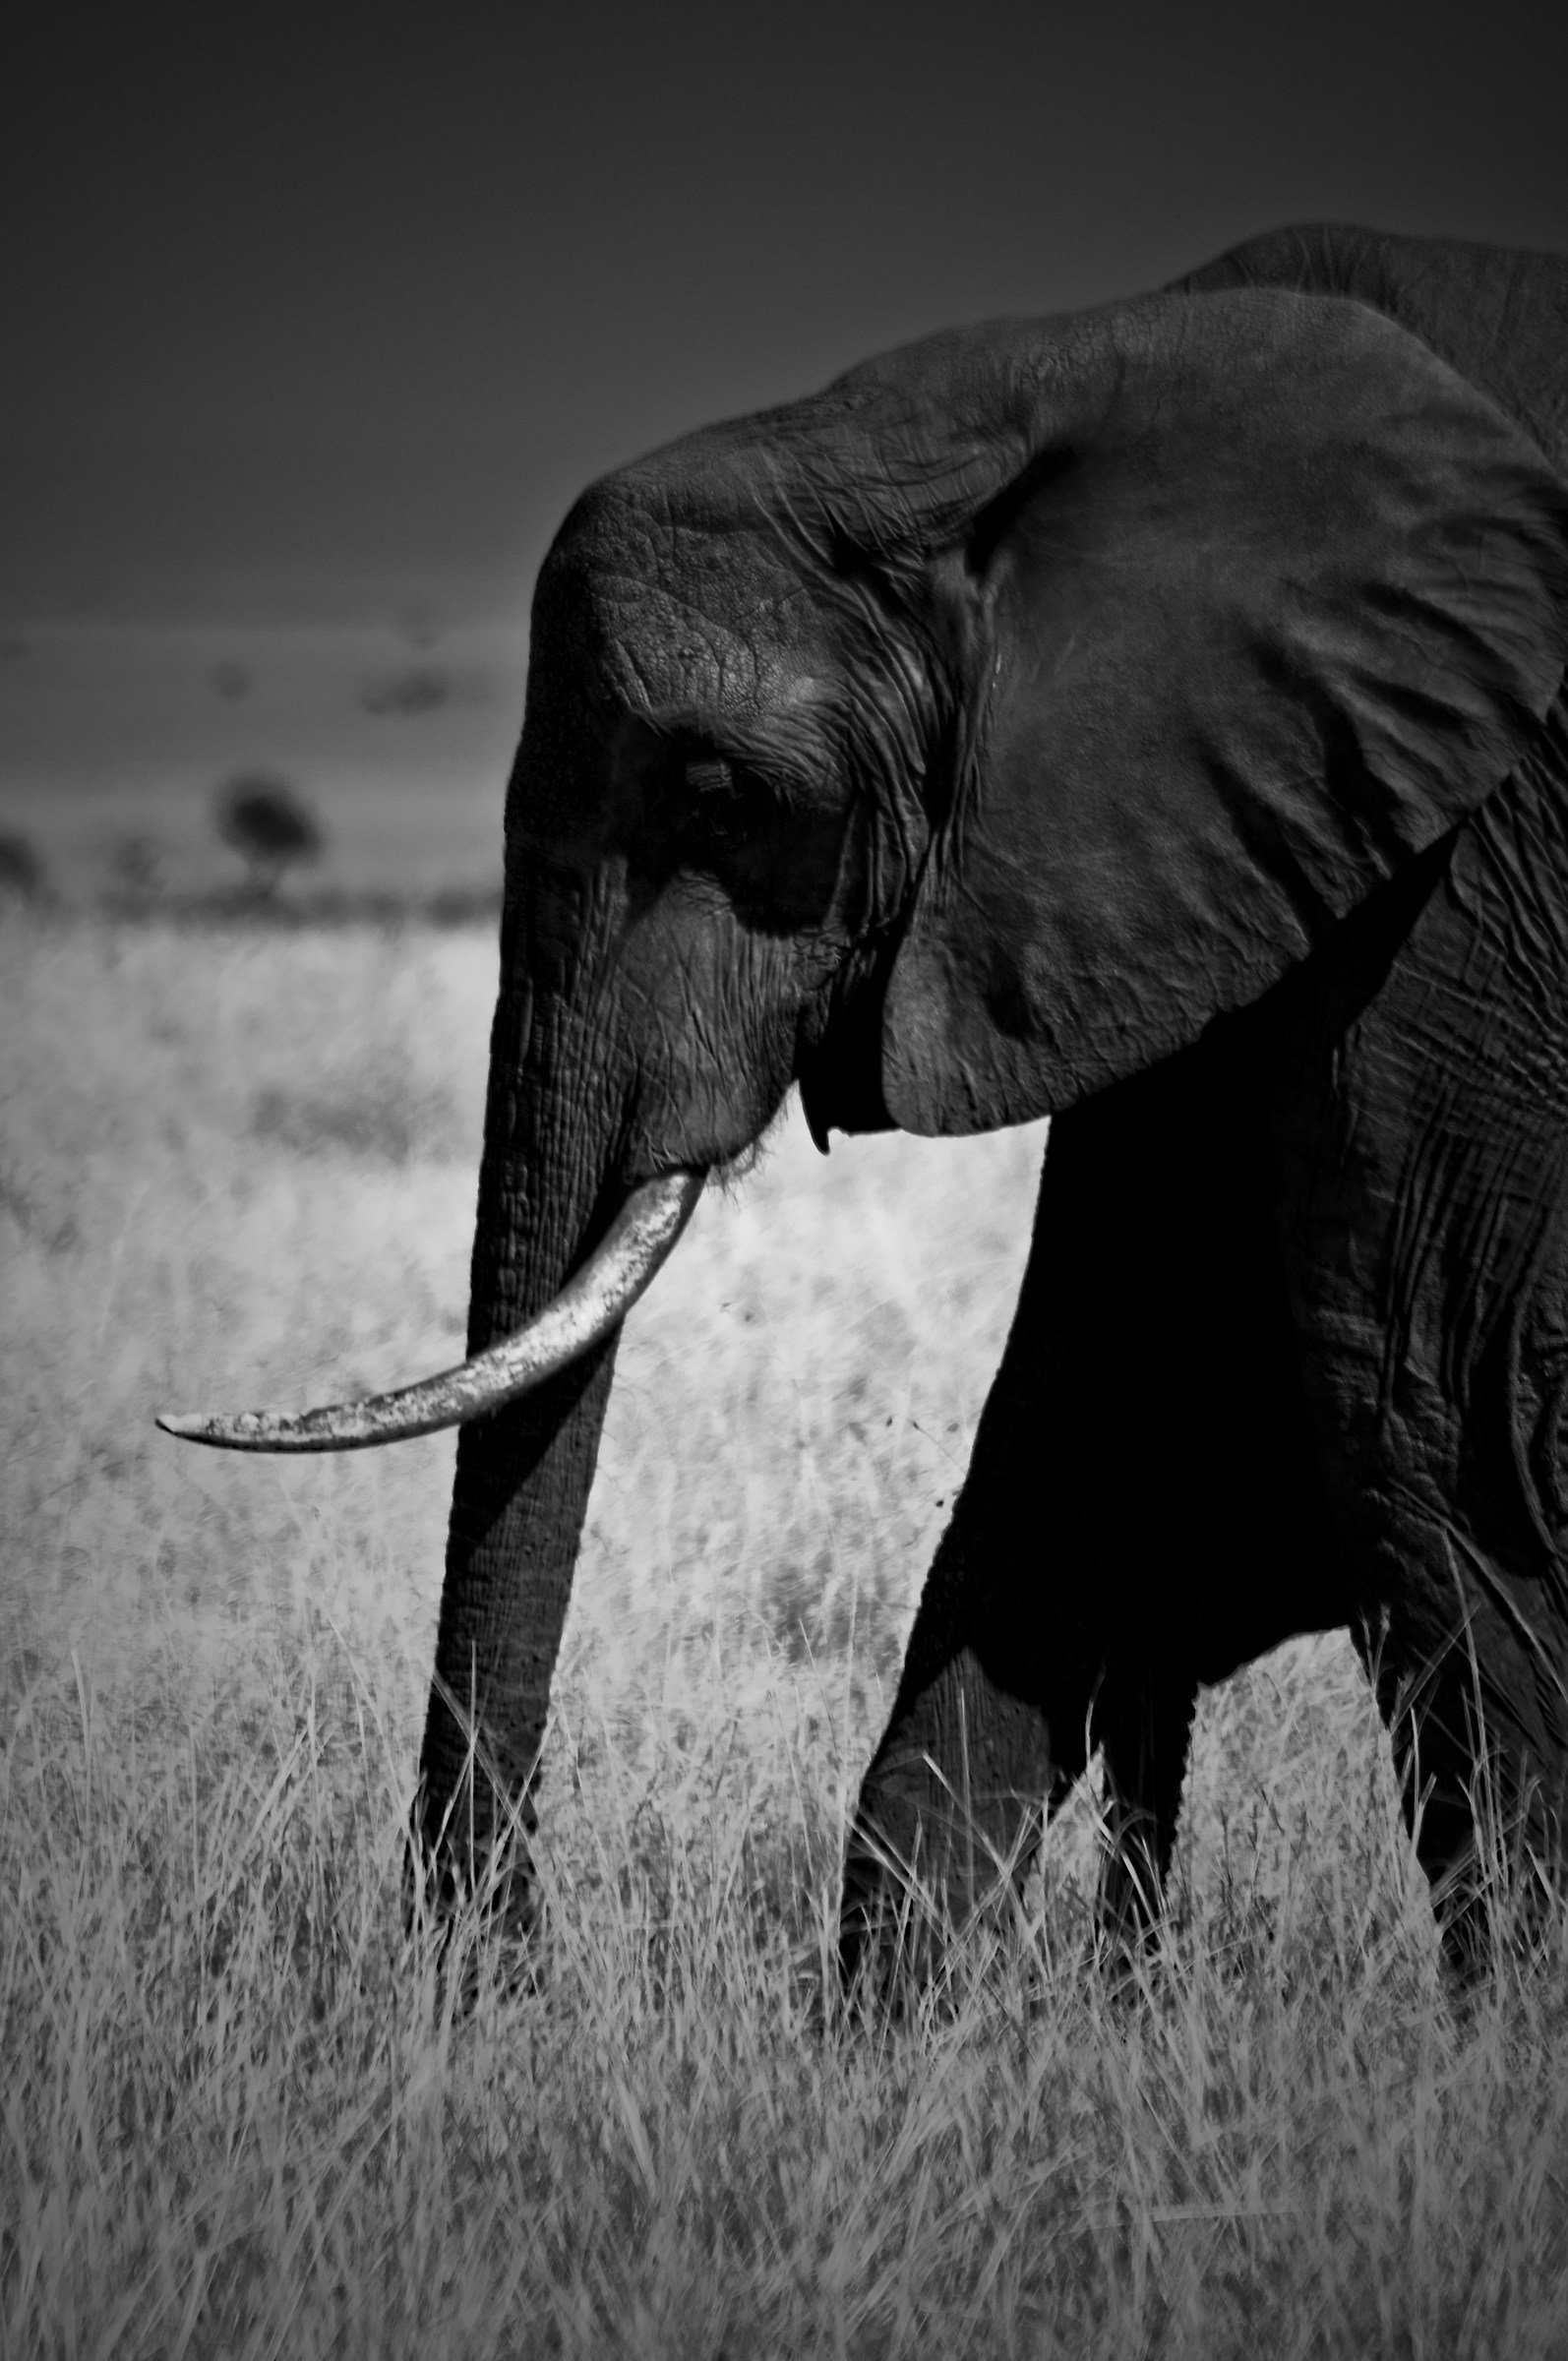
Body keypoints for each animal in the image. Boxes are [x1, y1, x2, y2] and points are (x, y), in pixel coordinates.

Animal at [162, 222, 1568, 1984]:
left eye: (712, 797)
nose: (493, 1985)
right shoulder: (1202, 855)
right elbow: (1088, 1404)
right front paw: (904, 2031)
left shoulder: (1449, 888)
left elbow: (1437, 1417)